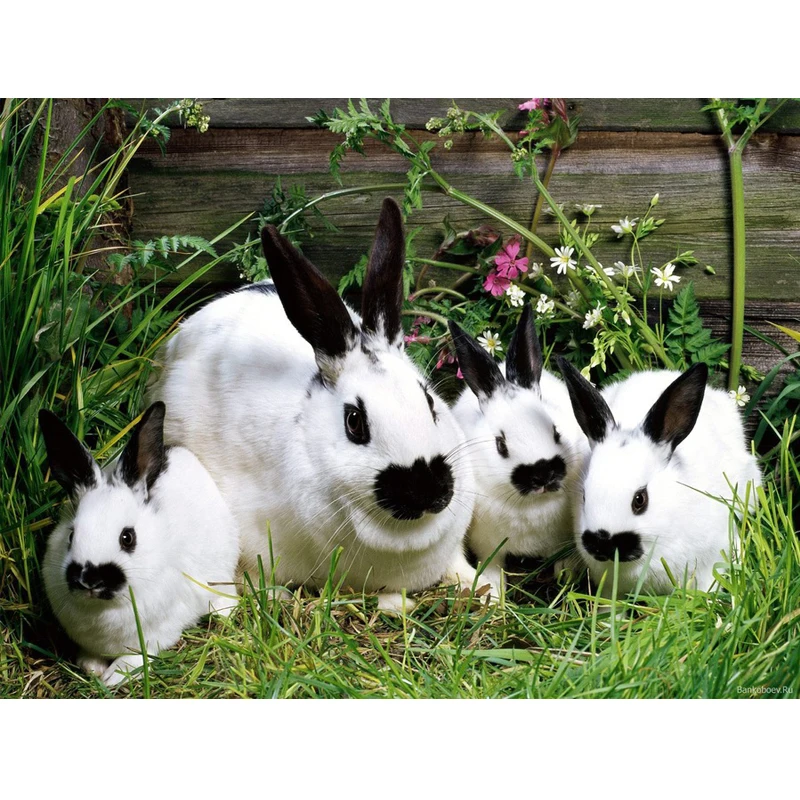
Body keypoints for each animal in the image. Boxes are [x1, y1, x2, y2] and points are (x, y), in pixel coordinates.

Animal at [39, 402, 240, 686]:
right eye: (71, 535)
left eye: (128, 538)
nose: (90, 580)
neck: (105, 608)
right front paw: (91, 668)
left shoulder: (156, 633)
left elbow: (136, 657)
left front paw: (112, 678)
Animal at [449, 303, 590, 596]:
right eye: (500, 444)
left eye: (555, 431)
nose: (543, 474)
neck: (532, 505)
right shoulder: (488, 543)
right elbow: (492, 565)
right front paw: (493, 592)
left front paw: (566, 575)